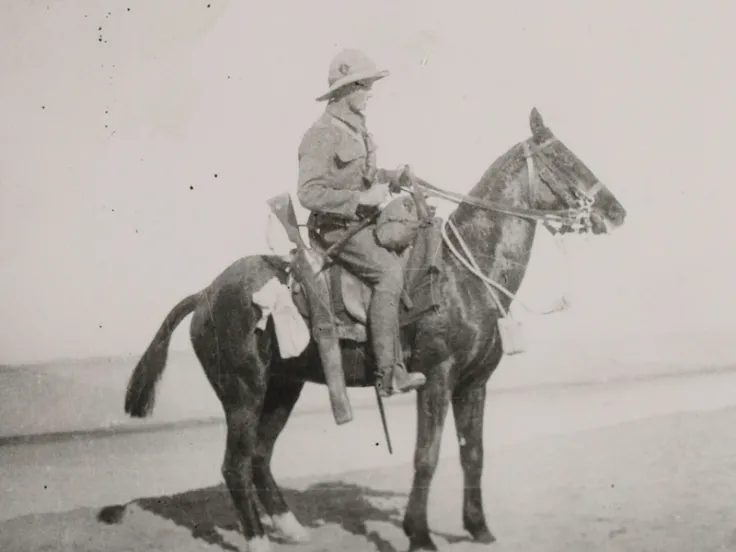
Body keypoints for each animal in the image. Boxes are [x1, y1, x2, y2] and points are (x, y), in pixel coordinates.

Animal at [123, 109, 624, 552]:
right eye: (562, 158)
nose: (616, 211)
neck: (464, 276)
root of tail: (206, 294)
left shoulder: (474, 384)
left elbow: (473, 455)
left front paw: (478, 528)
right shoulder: (437, 379)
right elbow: (427, 456)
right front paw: (419, 535)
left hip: (283, 387)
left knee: (260, 457)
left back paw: (290, 527)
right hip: (243, 392)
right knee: (235, 464)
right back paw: (257, 539)